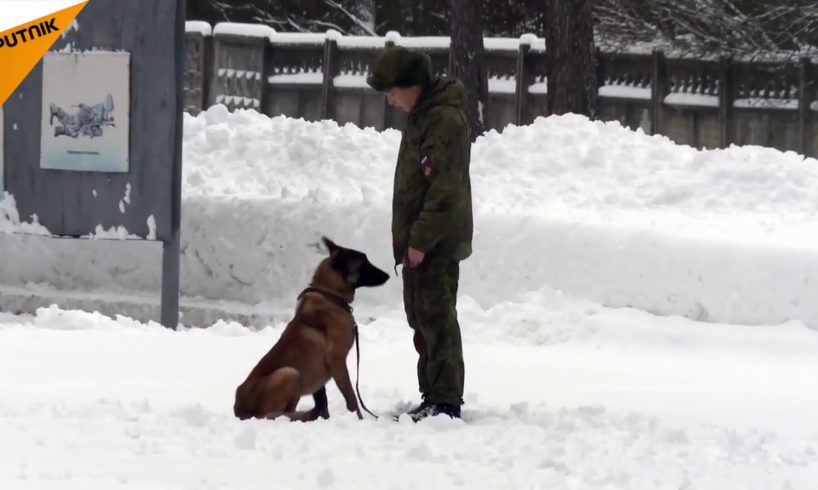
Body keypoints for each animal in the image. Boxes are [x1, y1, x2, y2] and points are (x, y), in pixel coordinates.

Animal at [233, 237, 388, 422]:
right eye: (363, 263)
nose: (388, 275)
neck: (330, 295)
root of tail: (238, 408)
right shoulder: (338, 362)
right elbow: (352, 399)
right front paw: (358, 420)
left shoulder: (320, 378)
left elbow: (323, 401)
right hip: (289, 374)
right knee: (273, 415)